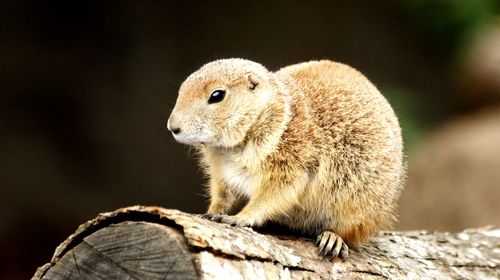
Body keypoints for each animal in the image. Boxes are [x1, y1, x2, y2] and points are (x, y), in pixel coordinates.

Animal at [168, 58, 406, 260]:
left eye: (217, 95)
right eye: (181, 90)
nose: (172, 127)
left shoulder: (292, 162)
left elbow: (273, 196)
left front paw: (239, 217)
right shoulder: (222, 173)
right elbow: (222, 194)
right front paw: (211, 212)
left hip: (360, 208)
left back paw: (333, 238)